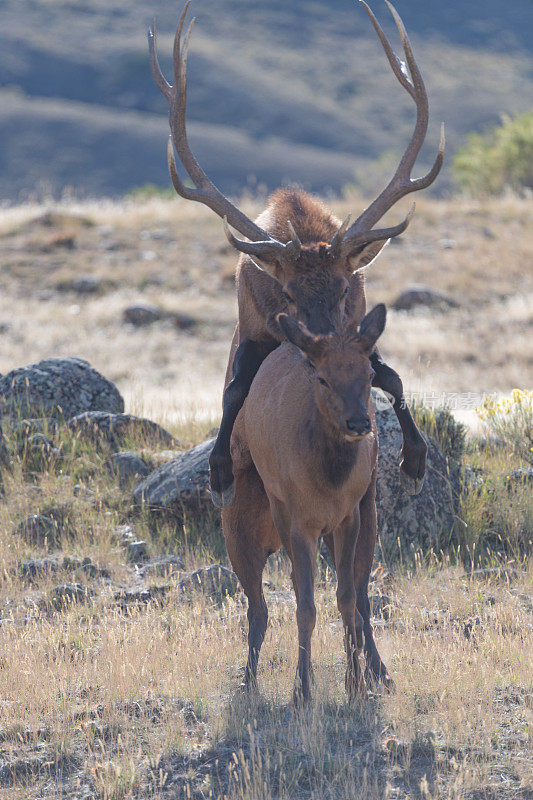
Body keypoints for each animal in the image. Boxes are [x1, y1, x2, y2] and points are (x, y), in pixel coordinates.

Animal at [150, 1, 444, 506]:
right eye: (286, 294)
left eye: (345, 289)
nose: (323, 348)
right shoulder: (252, 325)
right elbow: (234, 390)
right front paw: (219, 475)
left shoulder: (360, 324)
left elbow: (391, 376)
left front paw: (414, 463)